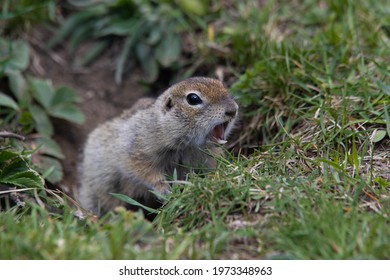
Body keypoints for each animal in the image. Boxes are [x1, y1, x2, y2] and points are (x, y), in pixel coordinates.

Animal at [78, 76, 238, 217]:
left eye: (222, 85)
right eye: (193, 99)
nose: (233, 110)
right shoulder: (138, 150)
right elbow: (144, 172)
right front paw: (165, 191)